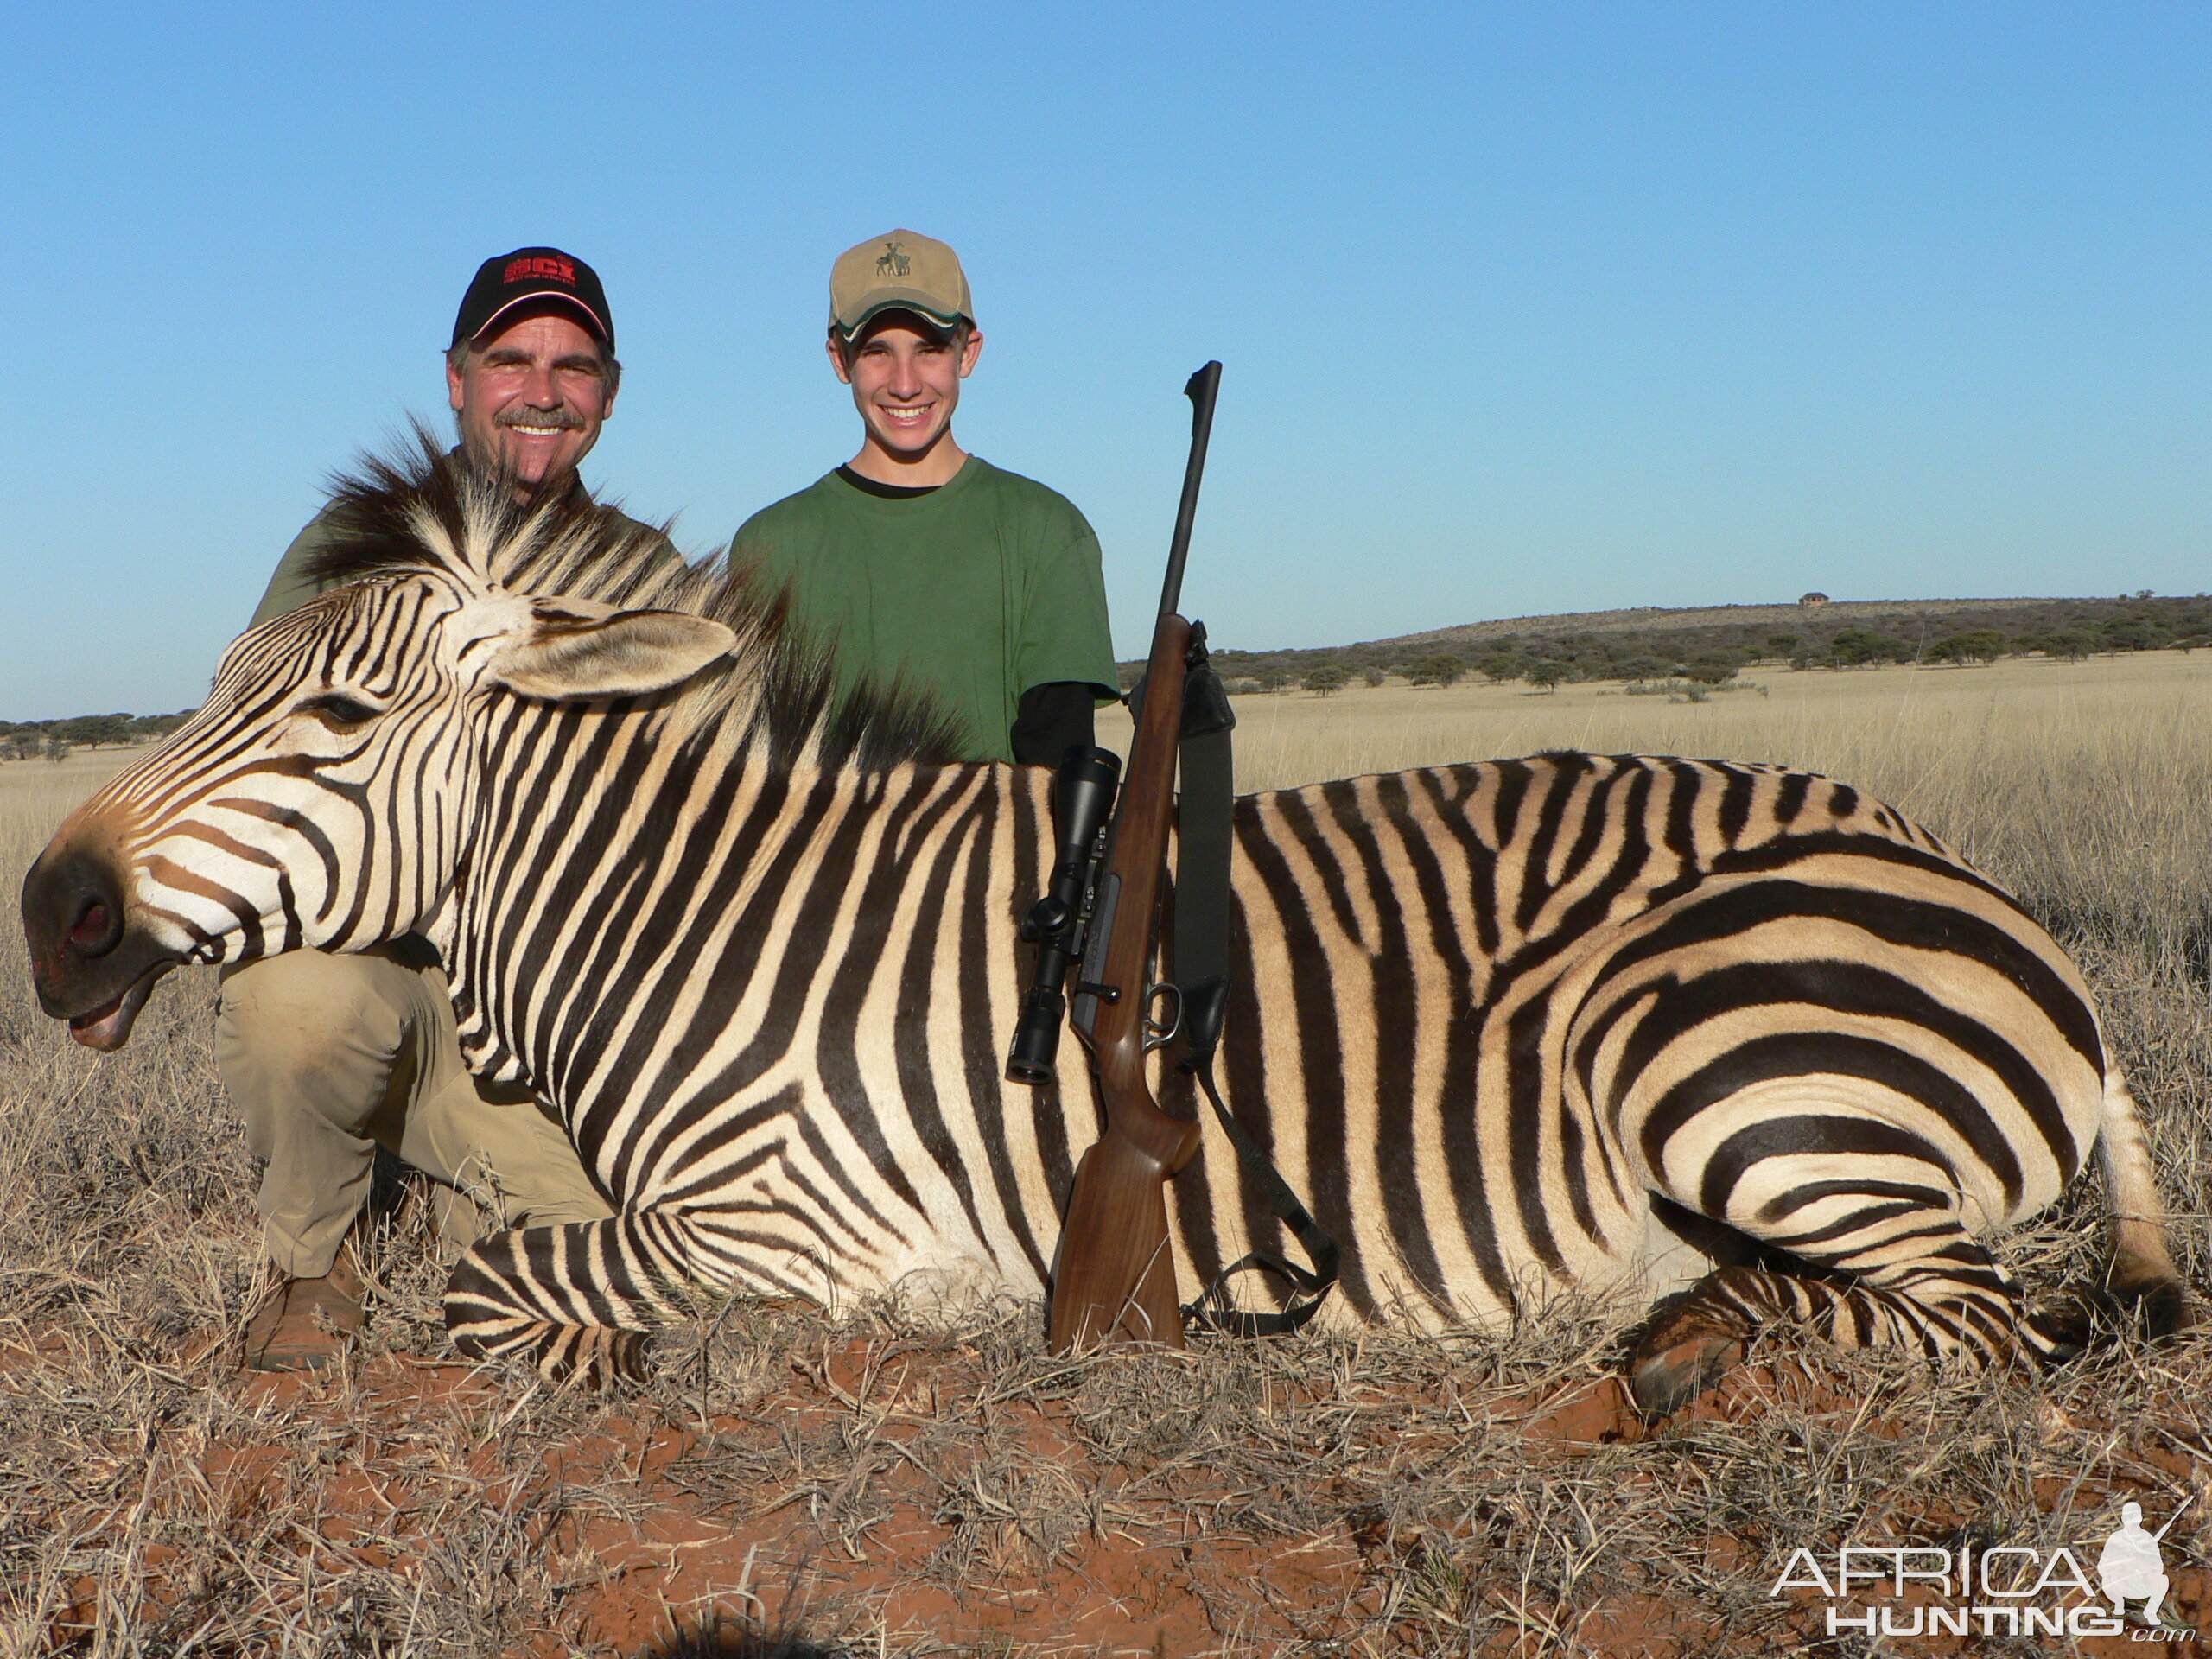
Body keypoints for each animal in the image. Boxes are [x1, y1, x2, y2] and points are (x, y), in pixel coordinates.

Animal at [26, 444, 2185, 1415]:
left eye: (335, 716)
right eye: (220, 684)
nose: (55, 912)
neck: (703, 921)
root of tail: (1965, 888)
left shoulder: (791, 1224)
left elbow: (499, 1287)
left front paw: (656, 1355)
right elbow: (485, 1270)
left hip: (1709, 1055)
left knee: (1982, 1325)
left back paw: (1673, 1344)